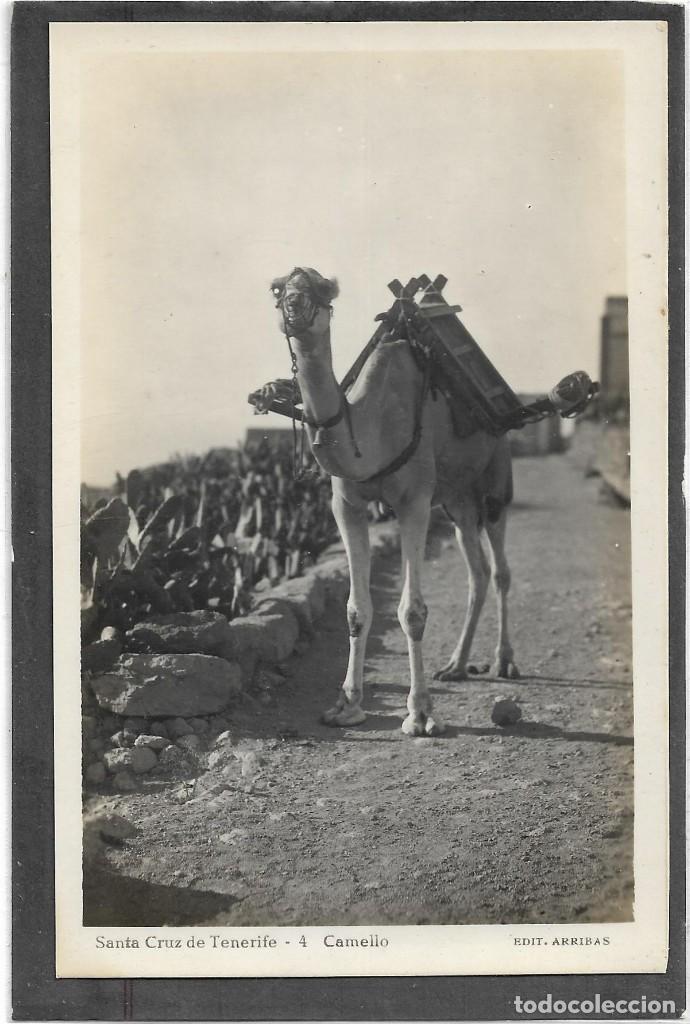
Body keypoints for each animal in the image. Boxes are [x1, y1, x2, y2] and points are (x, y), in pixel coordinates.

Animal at [270, 267, 520, 737]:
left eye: (321, 288)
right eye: (278, 288)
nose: (294, 304)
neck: (372, 428)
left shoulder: (414, 502)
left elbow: (412, 611)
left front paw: (420, 714)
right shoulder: (346, 505)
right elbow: (355, 608)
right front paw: (346, 705)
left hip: (495, 480)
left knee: (500, 571)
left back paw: (504, 661)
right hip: (457, 501)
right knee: (477, 571)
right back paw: (455, 666)